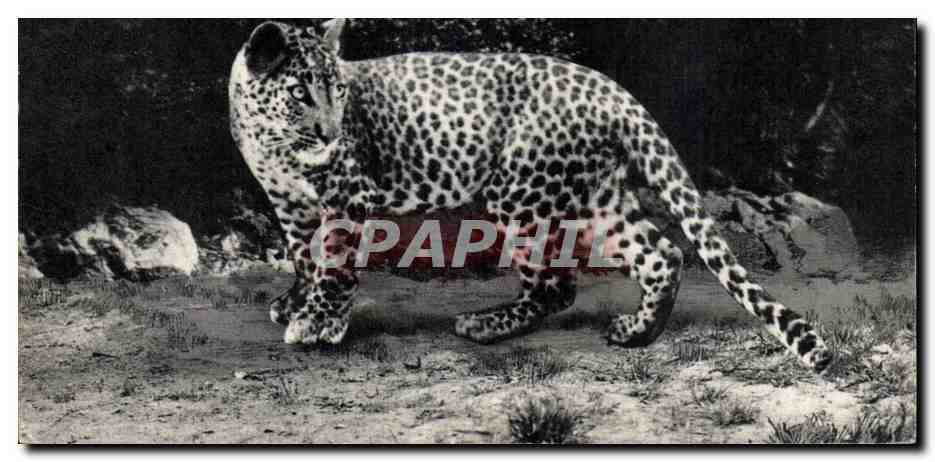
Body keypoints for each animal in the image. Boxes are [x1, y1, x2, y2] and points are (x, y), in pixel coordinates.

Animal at [228, 19, 833, 373]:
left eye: (338, 90)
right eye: (300, 91)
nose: (330, 133)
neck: (271, 141)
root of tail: (613, 88)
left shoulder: (347, 197)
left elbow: (334, 265)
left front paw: (319, 325)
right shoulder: (290, 205)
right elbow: (304, 258)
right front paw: (294, 304)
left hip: (522, 194)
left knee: (557, 285)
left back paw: (485, 324)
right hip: (598, 194)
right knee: (663, 253)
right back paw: (637, 333)